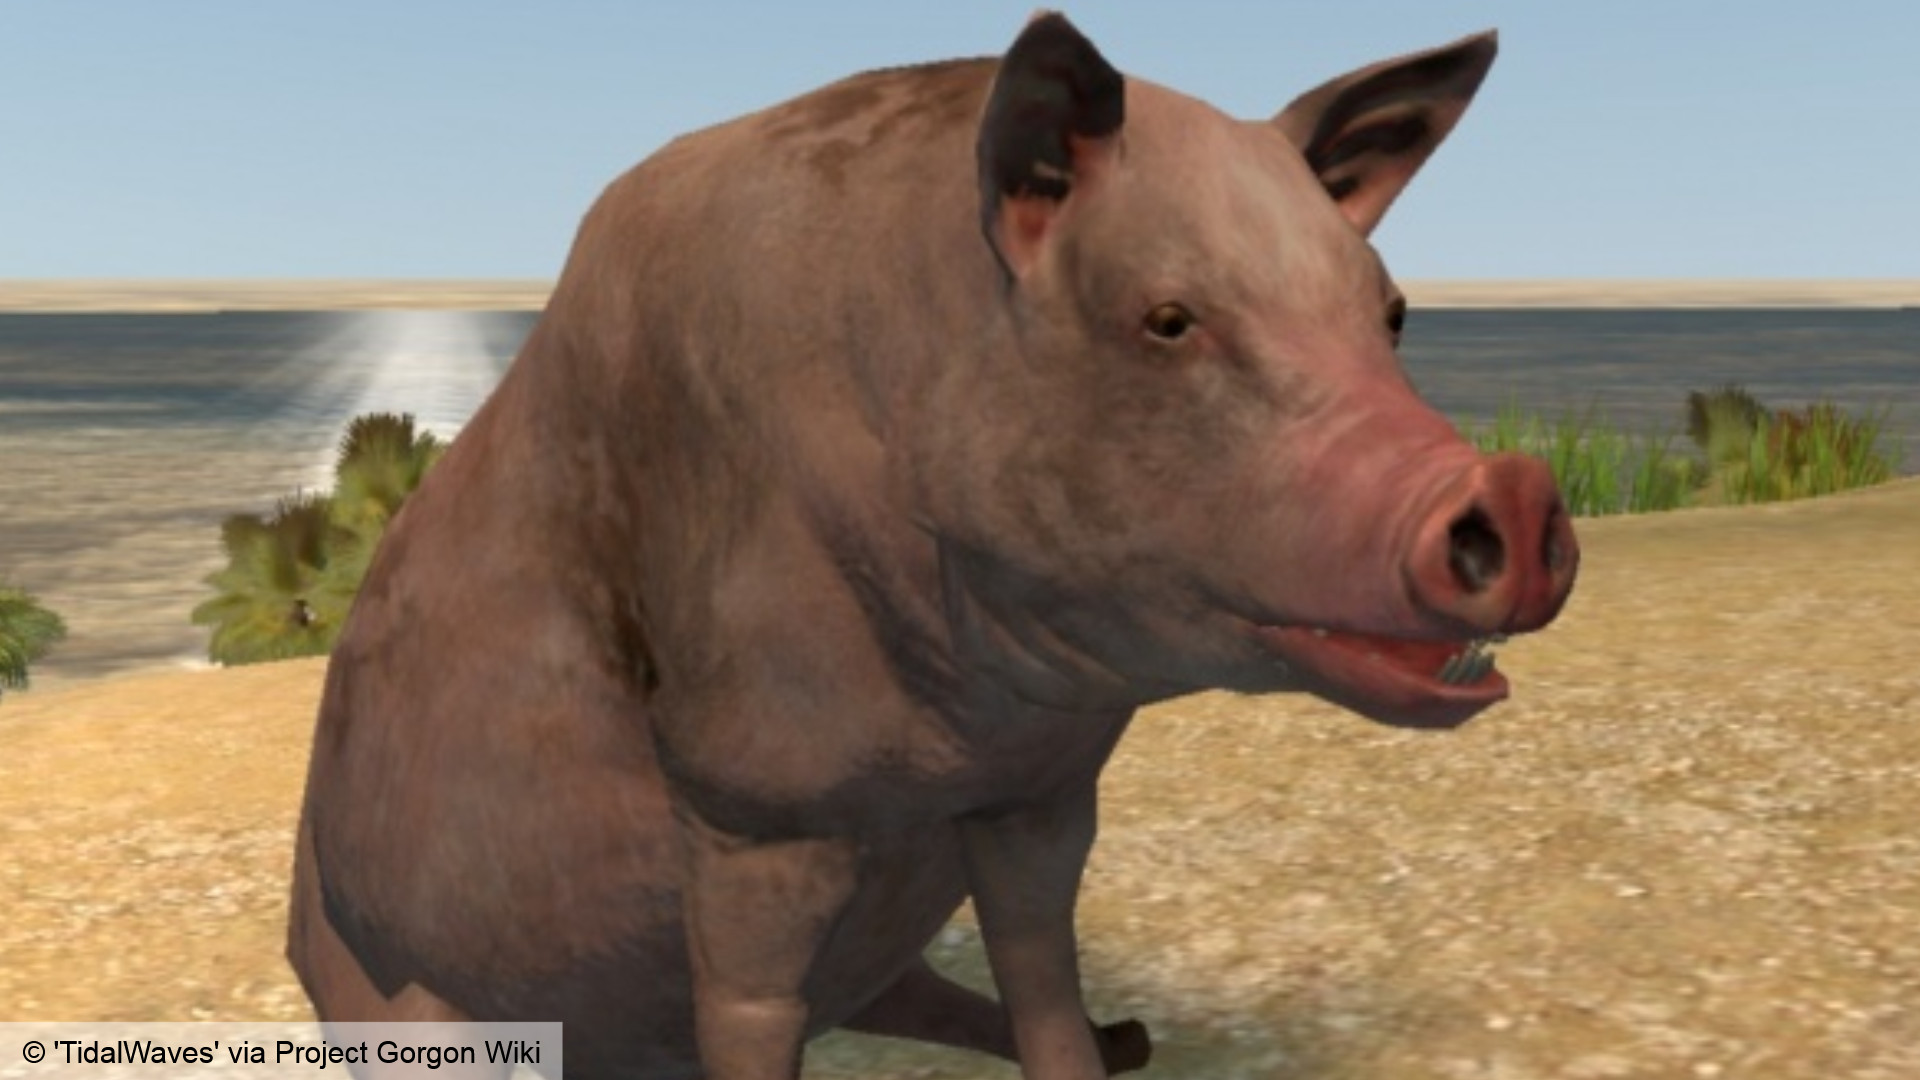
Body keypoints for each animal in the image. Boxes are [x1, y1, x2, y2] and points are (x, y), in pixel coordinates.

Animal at [286, 11, 1579, 1080]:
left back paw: (1131, 1039)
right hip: (384, 982)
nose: (1514, 492)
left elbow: (1040, 960)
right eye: (1167, 319)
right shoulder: (748, 805)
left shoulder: (1039, 789)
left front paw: (1096, 1044)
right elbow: (747, 1011)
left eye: (1391, 314)